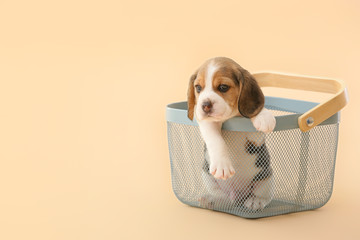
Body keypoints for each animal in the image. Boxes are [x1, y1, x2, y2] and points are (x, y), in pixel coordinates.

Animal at [187, 57, 278, 210]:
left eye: (223, 87)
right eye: (198, 88)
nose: (204, 105)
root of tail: (239, 196)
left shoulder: (257, 140)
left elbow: (253, 119)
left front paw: (263, 116)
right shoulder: (207, 123)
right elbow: (216, 140)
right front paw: (222, 166)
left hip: (267, 177)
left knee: (265, 196)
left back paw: (256, 201)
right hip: (207, 176)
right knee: (224, 199)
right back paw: (211, 200)